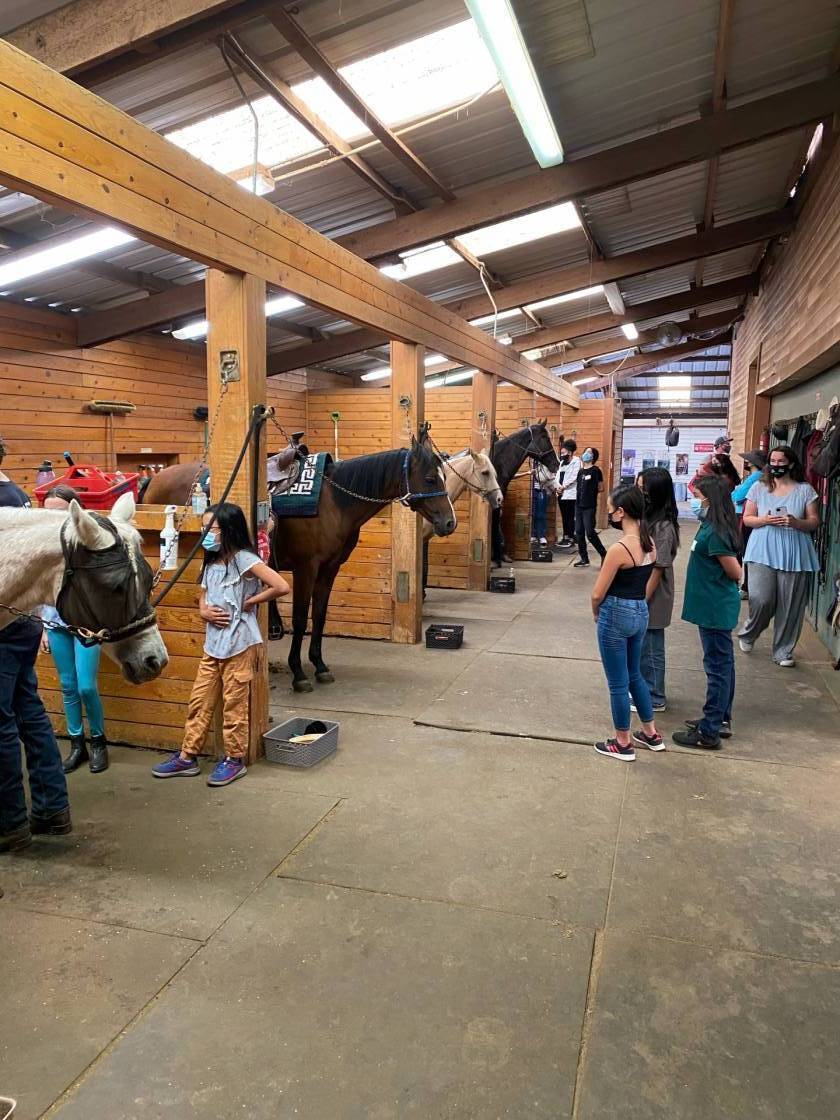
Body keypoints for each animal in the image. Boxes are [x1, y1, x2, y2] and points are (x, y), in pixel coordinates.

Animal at [271, 436, 456, 692]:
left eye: (444, 476)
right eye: (429, 479)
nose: (450, 522)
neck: (330, 502)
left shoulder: (329, 569)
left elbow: (319, 615)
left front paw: (319, 665)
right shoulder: (305, 569)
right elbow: (299, 620)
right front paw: (298, 673)